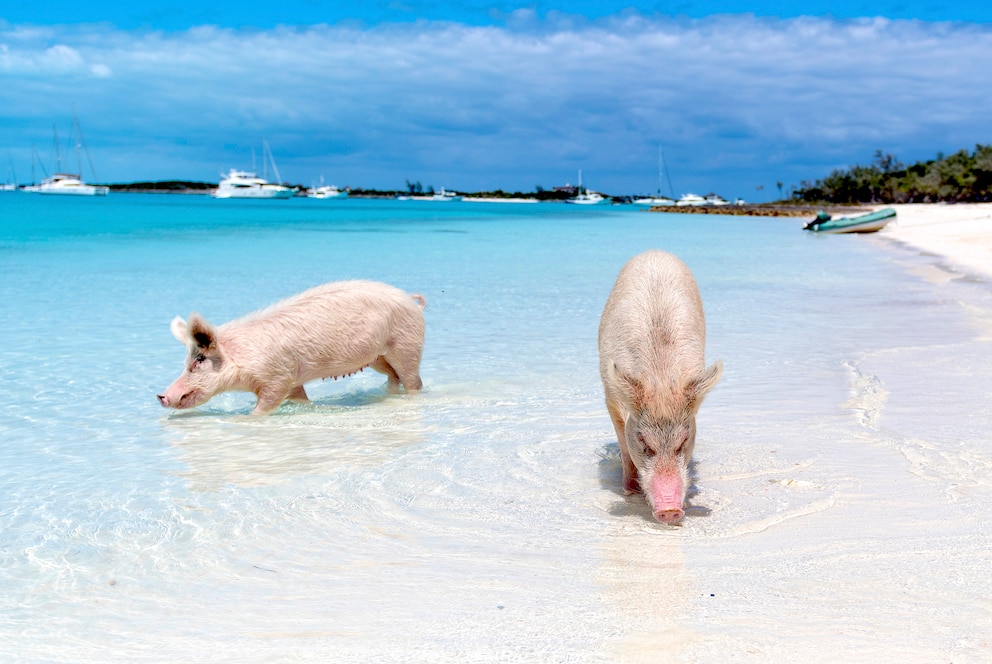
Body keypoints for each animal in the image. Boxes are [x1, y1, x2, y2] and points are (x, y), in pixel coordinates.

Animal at [159, 280, 426, 416]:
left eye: (198, 361)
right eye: (186, 362)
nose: (161, 396)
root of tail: (412, 302)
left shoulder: (278, 378)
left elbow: (264, 407)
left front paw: (250, 418)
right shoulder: (293, 380)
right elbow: (300, 399)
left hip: (406, 344)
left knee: (413, 380)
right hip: (378, 358)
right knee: (393, 376)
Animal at [596, 249, 720, 524]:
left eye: (683, 441)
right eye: (644, 441)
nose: (670, 510)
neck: (660, 379)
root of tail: (655, 252)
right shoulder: (610, 398)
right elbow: (624, 446)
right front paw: (629, 491)